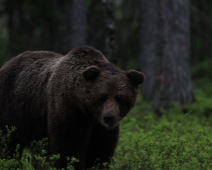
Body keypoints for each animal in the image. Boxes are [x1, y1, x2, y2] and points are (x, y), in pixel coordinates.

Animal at [0, 45, 144, 169]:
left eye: (121, 98)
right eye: (102, 96)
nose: (109, 118)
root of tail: (7, 63)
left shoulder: (101, 129)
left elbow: (100, 151)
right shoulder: (68, 111)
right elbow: (68, 148)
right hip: (11, 112)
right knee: (8, 143)